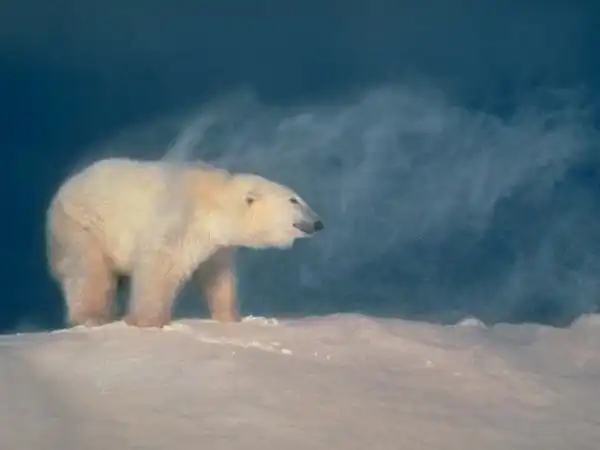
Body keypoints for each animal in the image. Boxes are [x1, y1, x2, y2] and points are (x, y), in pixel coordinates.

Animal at [46, 157, 323, 328]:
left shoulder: (217, 245)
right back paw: (92, 317)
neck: (213, 202)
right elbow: (158, 268)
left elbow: (217, 277)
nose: (318, 223)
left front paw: (231, 317)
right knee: (89, 270)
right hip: (83, 226)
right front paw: (146, 321)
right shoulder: (177, 218)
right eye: (294, 200)